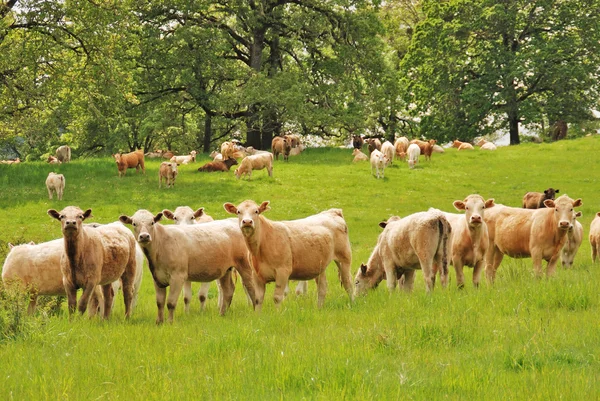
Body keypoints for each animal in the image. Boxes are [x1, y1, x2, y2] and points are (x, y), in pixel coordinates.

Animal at [118, 209, 256, 322]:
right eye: (134, 224)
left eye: (152, 222)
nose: (144, 236)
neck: (161, 243)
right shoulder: (157, 277)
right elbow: (160, 302)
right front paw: (159, 322)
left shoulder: (178, 276)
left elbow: (171, 303)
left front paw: (170, 322)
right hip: (225, 269)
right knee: (228, 290)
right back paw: (222, 314)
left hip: (245, 264)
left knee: (251, 286)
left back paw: (256, 310)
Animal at [225, 200, 356, 310]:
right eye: (238, 212)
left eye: (256, 211)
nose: (247, 222)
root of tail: (332, 212)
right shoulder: (257, 275)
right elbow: (258, 299)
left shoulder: (283, 271)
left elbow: (277, 297)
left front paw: (277, 316)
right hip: (320, 265)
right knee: (322, 287)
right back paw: (319, 308)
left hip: (344, 257)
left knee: (347, 282)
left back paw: (353, 303)